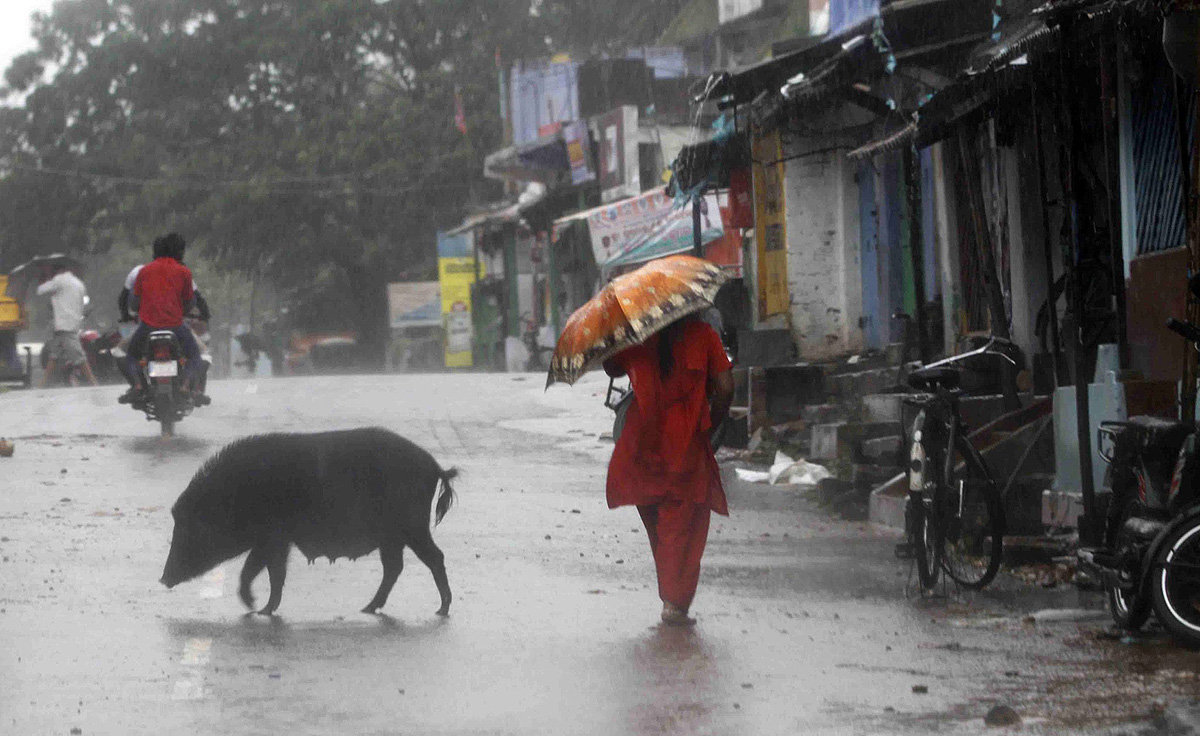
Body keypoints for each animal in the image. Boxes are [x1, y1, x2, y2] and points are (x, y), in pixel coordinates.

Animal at [158, 425, 453, 614]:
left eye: (187, 529)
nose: (162, 579)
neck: (235, 496)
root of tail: (434, 466)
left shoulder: (272, 537)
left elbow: (259, 570)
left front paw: (256, 609)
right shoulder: (277, 540)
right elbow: (271, 572)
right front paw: (263, 609)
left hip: (411, 526)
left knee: (434, 557)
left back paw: (441, 609)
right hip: (393, 536)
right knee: (394, 567)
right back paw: (367, 608)